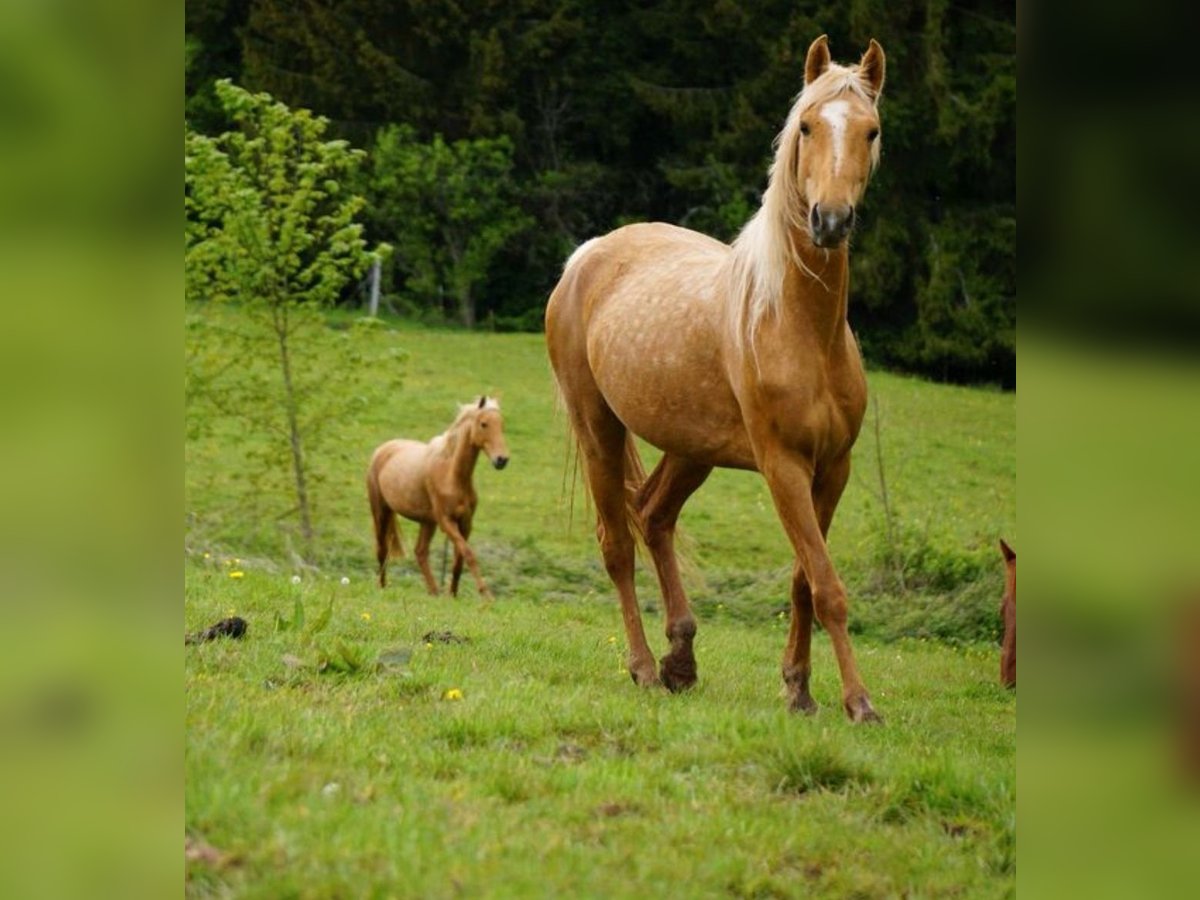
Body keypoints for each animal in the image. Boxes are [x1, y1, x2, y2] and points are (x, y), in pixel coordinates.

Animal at [549, 37, 888, 724]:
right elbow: (828, 585)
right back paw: (645, 668)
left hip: (690, 449)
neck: (799, 327)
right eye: (806, 126)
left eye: (870, 131)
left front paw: (799, 689)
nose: (830, 220)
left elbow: (804, 579)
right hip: (598, 429)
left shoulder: (832, 469)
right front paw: (859, 702)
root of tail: (586, 255)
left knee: (653, 517)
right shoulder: (783, 467)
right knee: (617, 544)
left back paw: (681, 659)